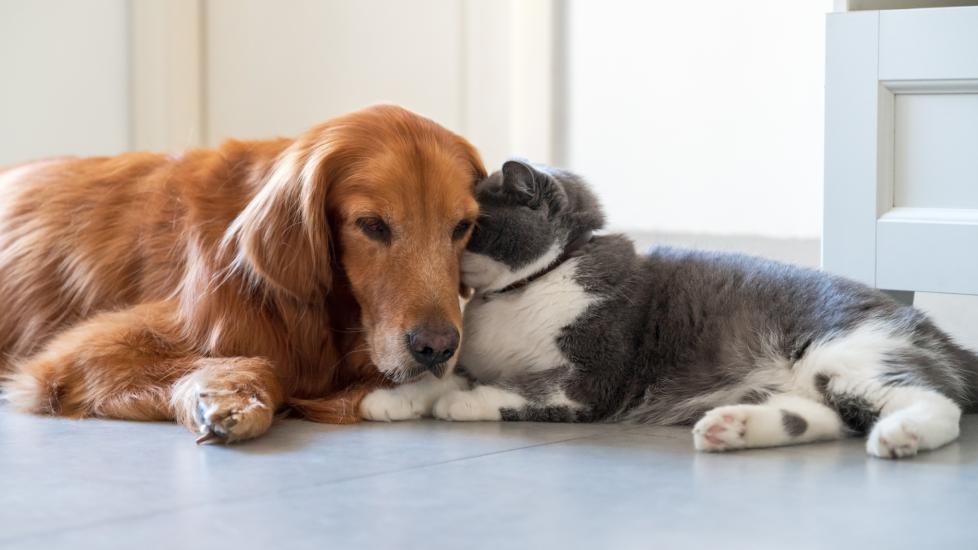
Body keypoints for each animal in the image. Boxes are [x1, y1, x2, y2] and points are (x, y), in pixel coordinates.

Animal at [0, 104, 480, 444]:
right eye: (373, 225)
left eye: (462, 227)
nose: (437, 348)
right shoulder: (79, 354)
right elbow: (268, 366)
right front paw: (227, 398)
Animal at [360, 161, 976, 462]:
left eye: (467, 227)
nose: (436, 255)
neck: (535, 284)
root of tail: (939, 335)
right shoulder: (479, 358)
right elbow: (445, 376)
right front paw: (391, 401)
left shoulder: (590, 380)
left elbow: (517, 390)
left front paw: (463, 404)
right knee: (823, 419)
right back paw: (733, 428)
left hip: (848, 355)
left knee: (933, 402)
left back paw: (902, 437)